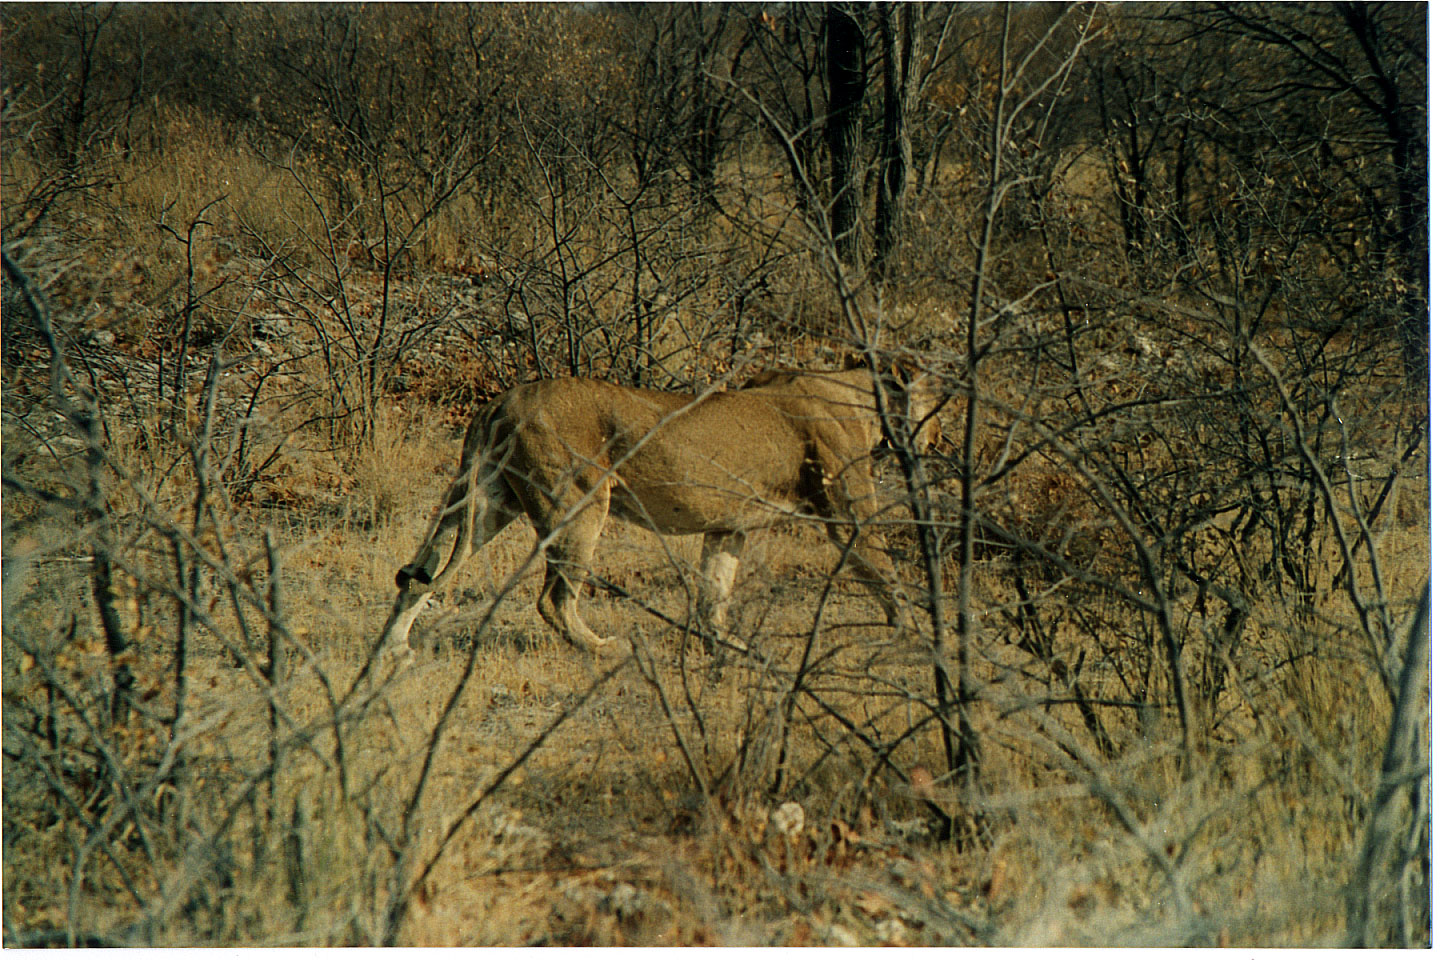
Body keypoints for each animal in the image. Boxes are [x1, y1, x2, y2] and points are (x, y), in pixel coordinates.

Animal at [383, 364, 944, 656]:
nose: (940, 440)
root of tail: (500, 401)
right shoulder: (849, 514)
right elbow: (885, 571)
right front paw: (913, 634)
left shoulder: (727, 527)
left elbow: (715, 588)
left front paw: (727, 646)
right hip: (579, 502)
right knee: (553, 598)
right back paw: (606, 647)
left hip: (487, 503)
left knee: (420, 575)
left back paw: (393, 649)